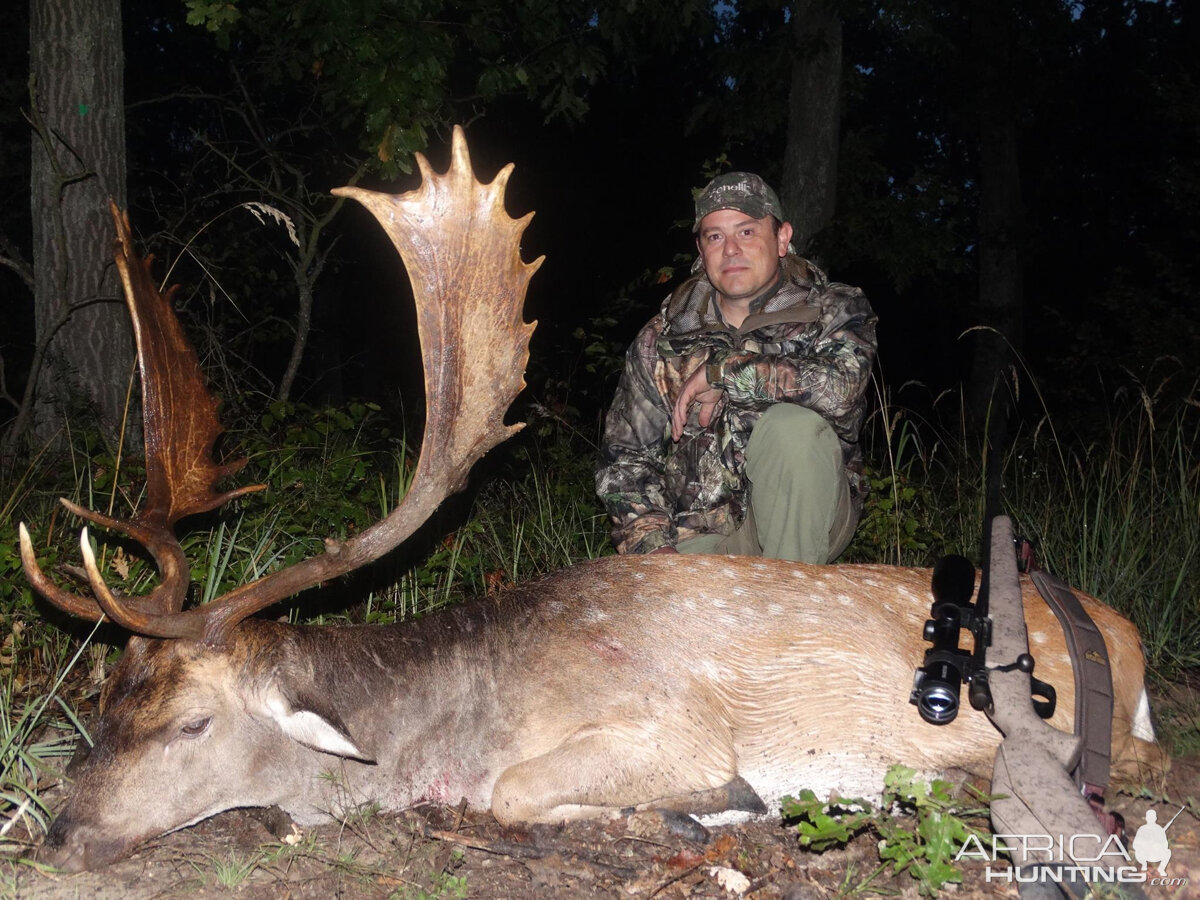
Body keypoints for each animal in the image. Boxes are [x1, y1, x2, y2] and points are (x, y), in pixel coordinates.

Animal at [18, 128, 1161, 873]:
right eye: (105, 705)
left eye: (191, 725)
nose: (61, 835)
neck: (456, 723)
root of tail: (1126, 634)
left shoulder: (667, 726)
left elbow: (522, 792)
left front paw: (709, 814)